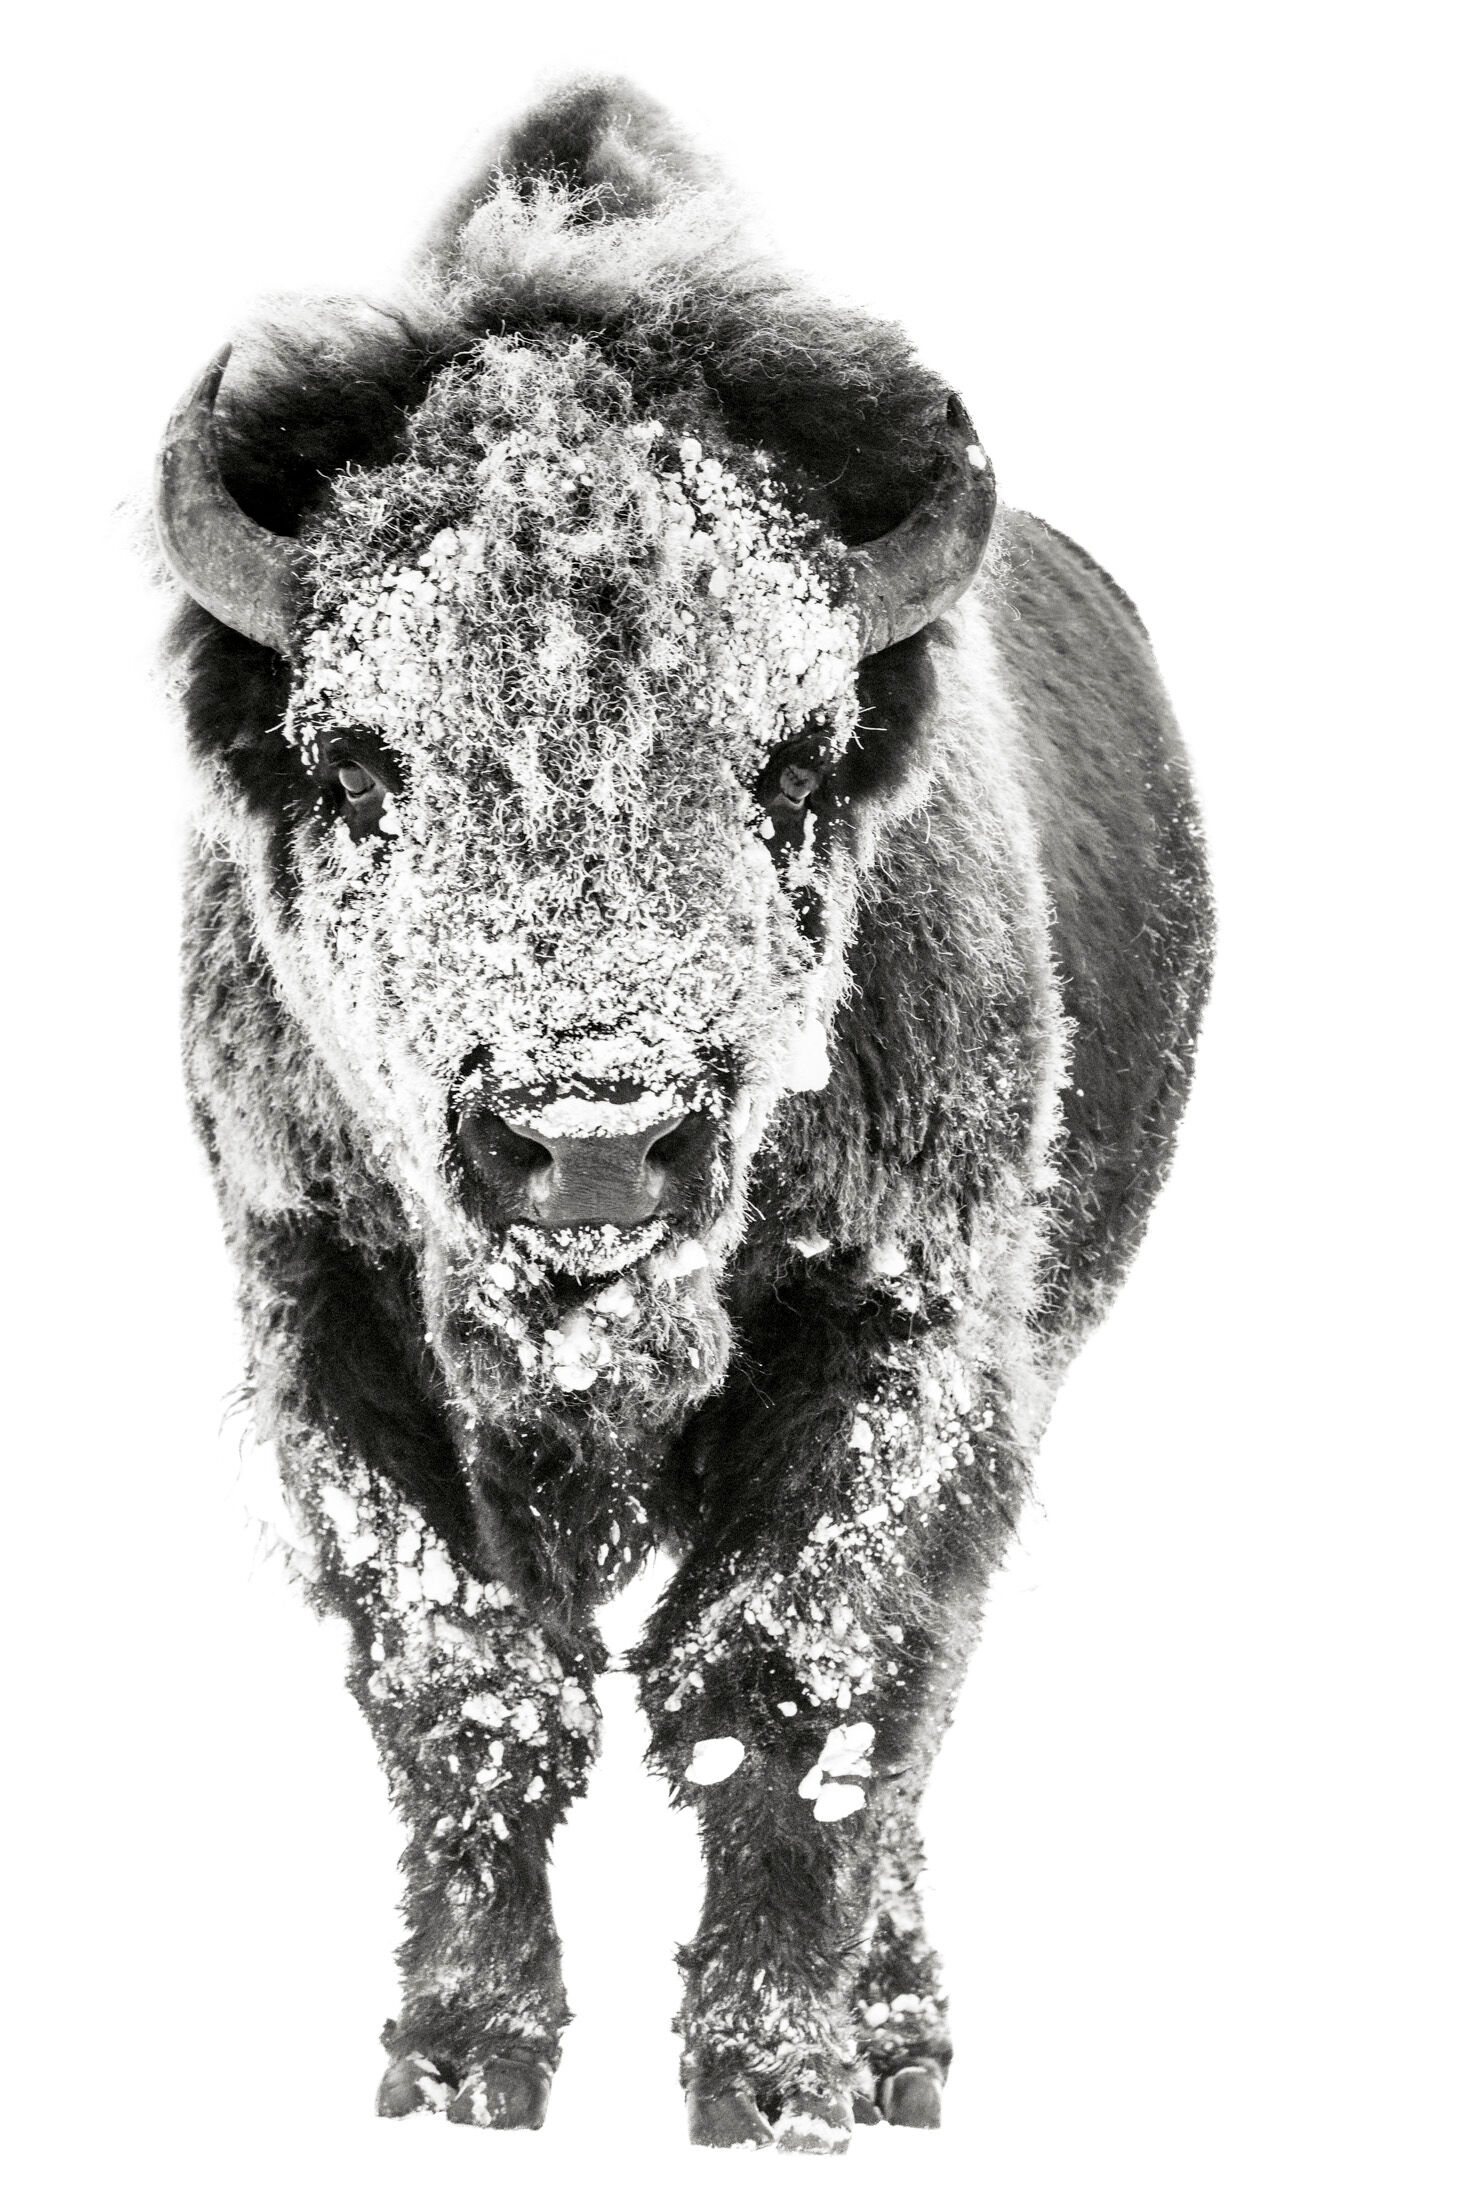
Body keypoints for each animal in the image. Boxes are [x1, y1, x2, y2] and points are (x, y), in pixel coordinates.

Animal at [154, 76, 1213, 2151]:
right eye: (357, 758)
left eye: (791, 757)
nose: (590, 1136)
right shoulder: (330, 1322)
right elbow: (465, 1686)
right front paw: (457, 2070)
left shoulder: (899, 1334)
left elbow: (792, 1687)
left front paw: (770, 2084)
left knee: (903, 1721)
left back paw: (895, 2043)